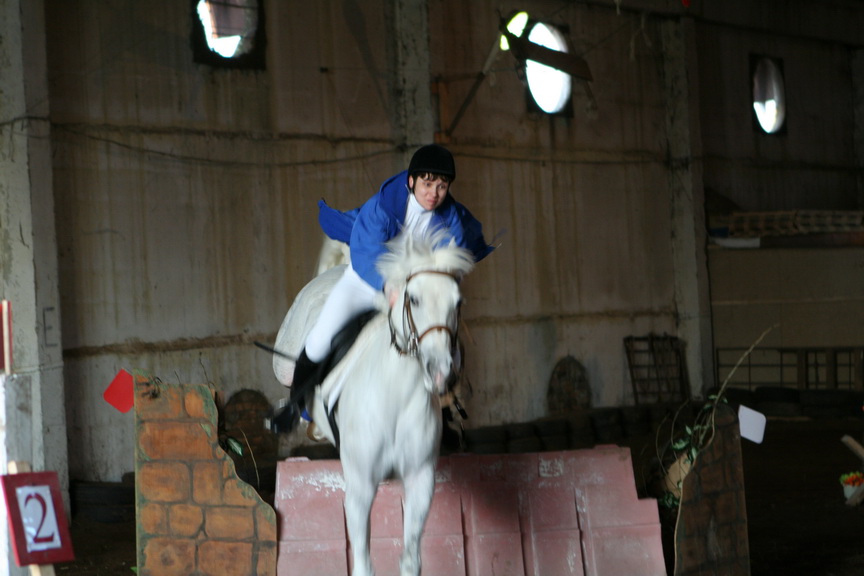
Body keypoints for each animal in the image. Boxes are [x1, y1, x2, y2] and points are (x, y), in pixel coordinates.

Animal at [273, 229, 474, 576]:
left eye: (457, 302)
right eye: (414, 299)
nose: (439, 371)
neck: (395, 395)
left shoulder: (420, 480)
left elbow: (410, 560)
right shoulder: (361, 487)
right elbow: (363, 565)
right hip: (285, 359)